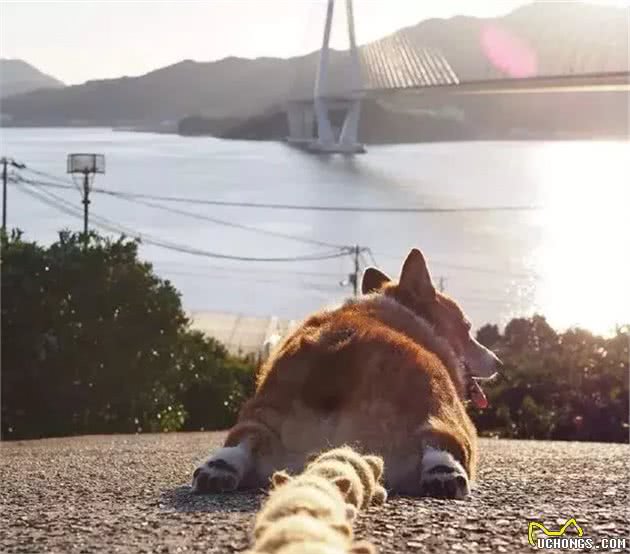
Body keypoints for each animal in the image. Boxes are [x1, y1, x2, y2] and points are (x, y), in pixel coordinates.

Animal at [193, 248, 504, 498]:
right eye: (466, 327)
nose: (499, 362)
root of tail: (333, 365)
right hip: (442, 409)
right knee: (440, 442)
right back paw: (446, 476)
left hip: (260, 414)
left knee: (243, 440)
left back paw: (217, 471)